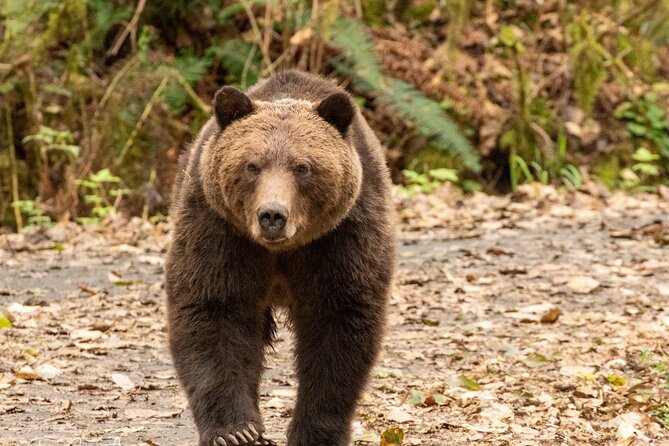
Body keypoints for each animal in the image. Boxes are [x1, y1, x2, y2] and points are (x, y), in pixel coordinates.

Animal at [165, 70, 395, 446]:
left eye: (302, 167)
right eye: (252, 165)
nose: (272, 215)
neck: (281, 250)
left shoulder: (343, 238)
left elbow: (339, 322)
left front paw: (315, 433)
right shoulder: (220, 231)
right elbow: (213, 309)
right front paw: (236, 431)